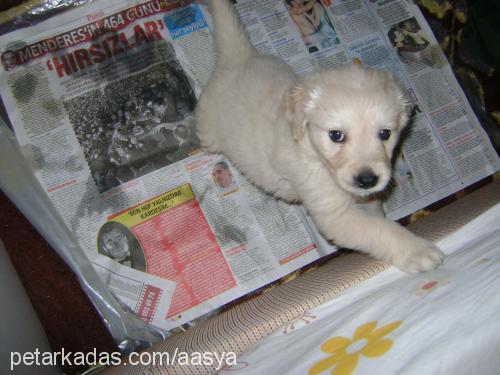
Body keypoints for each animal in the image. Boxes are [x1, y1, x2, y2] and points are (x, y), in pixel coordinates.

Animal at [196, 0, 446, 274]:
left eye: (385, 133)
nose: (367, 180)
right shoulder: (333, 213)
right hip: (208, 127)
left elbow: (374, 212)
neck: (311, 149)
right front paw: (417, 250)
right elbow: (380, 230)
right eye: (336, 135)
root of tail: (239, 56)